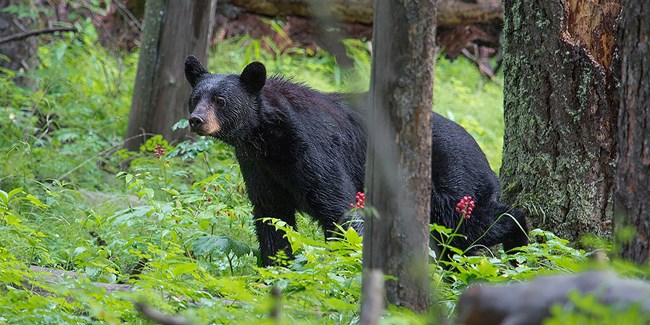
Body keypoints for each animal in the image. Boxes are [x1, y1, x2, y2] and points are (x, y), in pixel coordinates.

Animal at [182, 56, 528, 266]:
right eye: (195, 98)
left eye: (220, 100)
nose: (196, 120)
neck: (266, 135)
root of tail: (482, 154)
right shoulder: (258, 166)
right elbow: (271, 216)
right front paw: (274, 268)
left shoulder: (312, 150)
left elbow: (340, 208)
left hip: (453, 182)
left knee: (475, 225)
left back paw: (520, 244)